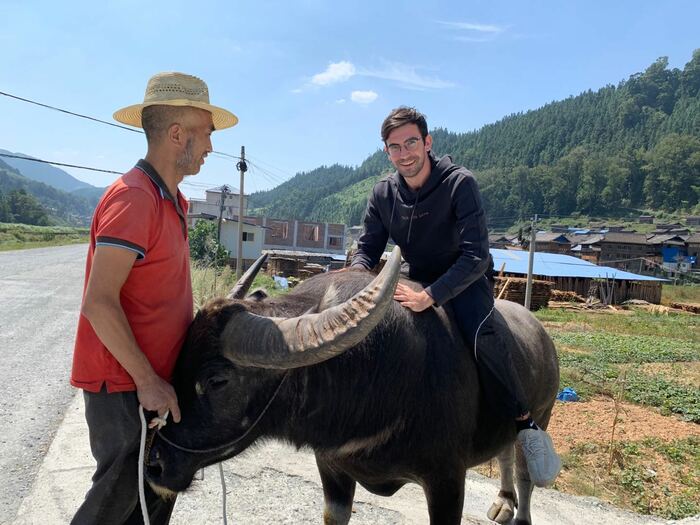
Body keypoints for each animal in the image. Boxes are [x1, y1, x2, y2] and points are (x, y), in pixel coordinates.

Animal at [146, 247, 556, 524]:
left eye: (217, 380)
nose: (154, 467)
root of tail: (543, 337)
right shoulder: (331, 468)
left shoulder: (447, 480)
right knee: (504, 453)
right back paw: (503, 501)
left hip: (542, 413)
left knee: (524, 471)